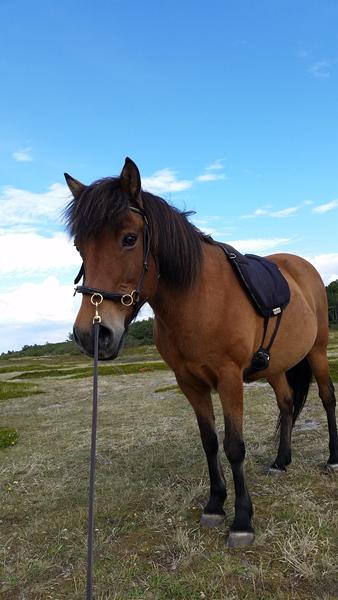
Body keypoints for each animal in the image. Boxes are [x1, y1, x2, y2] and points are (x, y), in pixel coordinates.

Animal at [64, 157, 338, 548]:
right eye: (80, 248)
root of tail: (303, 268)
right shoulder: (189, 383)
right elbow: (209, 442)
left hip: (316, 352)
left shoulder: (229, 379)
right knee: (287, 403)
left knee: (328, 398)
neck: (197, 298)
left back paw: (332, 458)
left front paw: (242, 520)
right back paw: (281, 461)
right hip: (275, 367)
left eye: (129, 239)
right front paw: (214, 504)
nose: (93, 334)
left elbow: (234, 445)